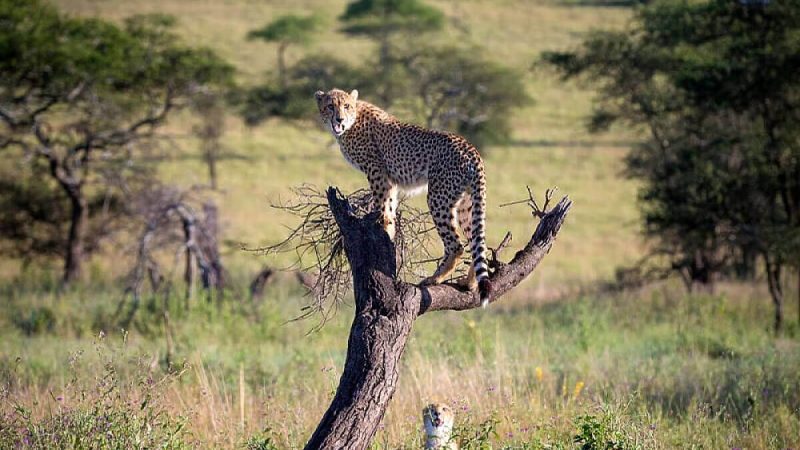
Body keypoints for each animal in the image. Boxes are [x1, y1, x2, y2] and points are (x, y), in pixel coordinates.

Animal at [314, 88, 492, 305]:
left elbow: (382, 204)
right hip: (467, 203)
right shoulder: (390, 180)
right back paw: (470, 283)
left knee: (456, 245)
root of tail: (471, 147)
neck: (352, 121)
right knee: (477, 242)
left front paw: (383, 228)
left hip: (438, 197)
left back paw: (435, 278)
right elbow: (389, 205)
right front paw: (389, 233)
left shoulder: (377, 171)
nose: (339, 119)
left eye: (346, 106)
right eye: (330, 106)